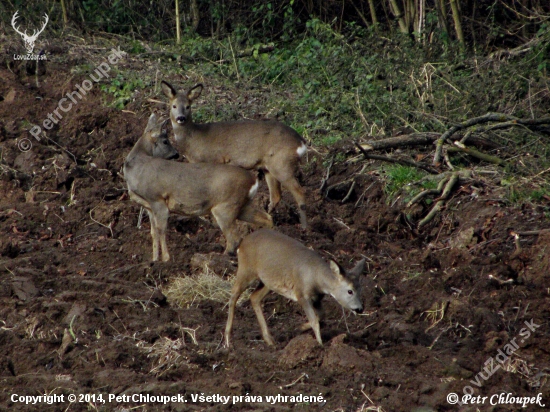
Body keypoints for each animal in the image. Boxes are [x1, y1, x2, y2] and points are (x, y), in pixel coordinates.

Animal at [123, 113, 274, 260]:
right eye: (165, 141)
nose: (176, 154)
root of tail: (253, 180)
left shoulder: (157, 199)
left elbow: (161, 230)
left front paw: (166, 259)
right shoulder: (148, 206)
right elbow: (153, 232)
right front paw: (154, 260)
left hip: (225, 206)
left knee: (235, 238)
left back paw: (221, 256)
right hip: (241, 205)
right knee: (266, 218)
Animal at [162, 80, 310, 229]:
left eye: (188, 106)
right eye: (174, 106)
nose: (181, 118)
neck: (193, 139)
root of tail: (301, 142)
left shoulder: (212, 161)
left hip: (282, 163)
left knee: (300, 192)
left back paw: (304, 227)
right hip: (268, 166)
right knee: (276, 195)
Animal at [225, 229, 366, 348]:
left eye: (360, 289)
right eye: (350, 291)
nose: (360, 309)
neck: (316, 278)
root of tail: (243, 242)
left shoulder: (317, 298)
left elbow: (321, 316)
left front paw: (300, 328)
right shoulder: (301, 293)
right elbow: (314, 320)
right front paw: (319, 345)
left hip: (267, 281)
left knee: (254, 297)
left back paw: (269, 340)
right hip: (246, 269)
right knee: (234, 294)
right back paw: (228, 341)